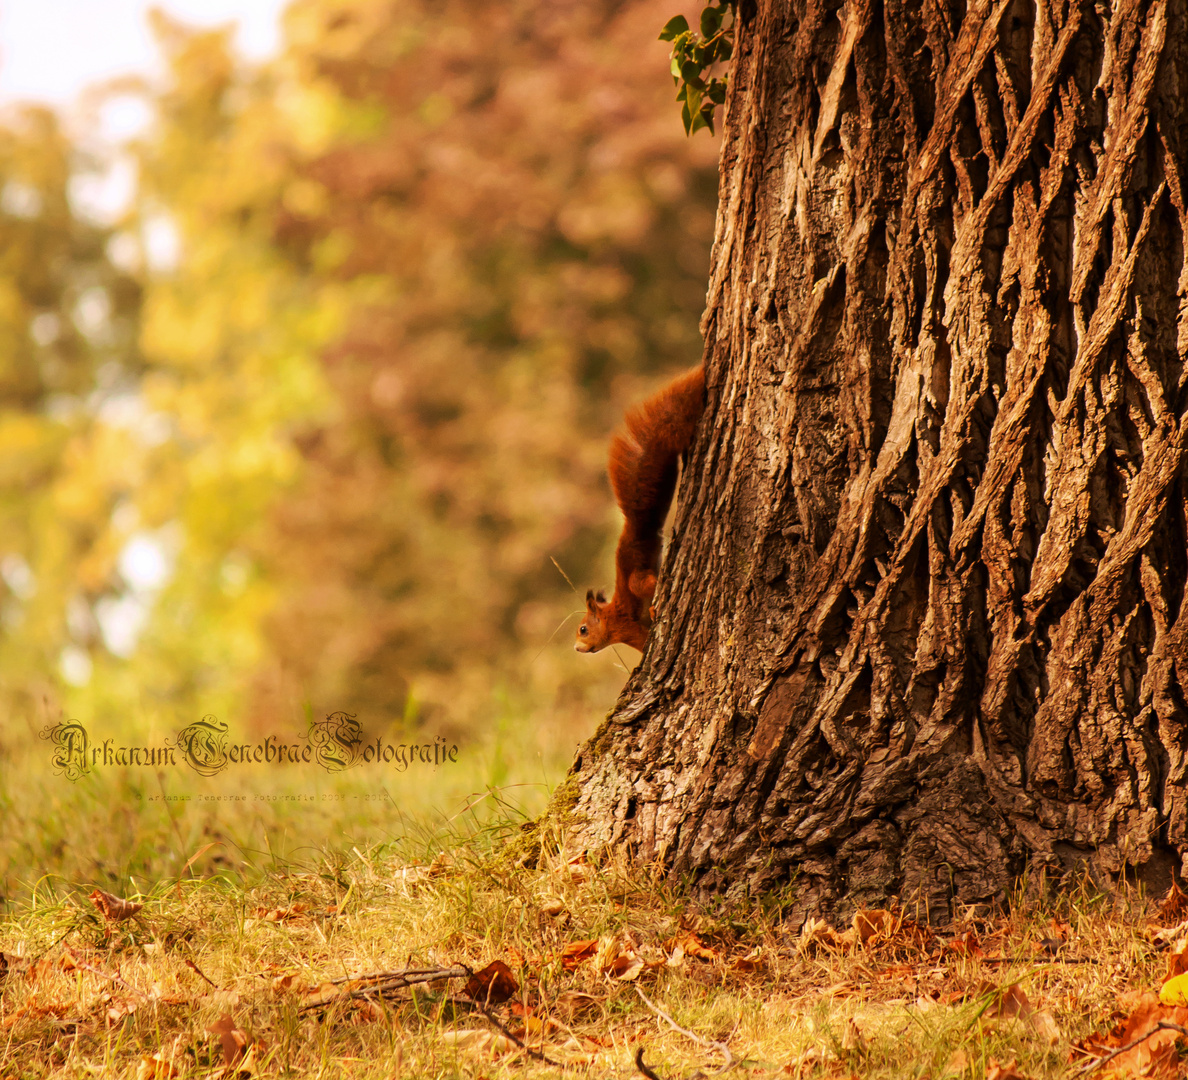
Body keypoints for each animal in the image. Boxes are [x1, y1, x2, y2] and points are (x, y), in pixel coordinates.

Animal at [574, 363, 703, 651]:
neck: (609, 620)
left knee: (650, 584)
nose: (576, 648)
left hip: (636, 578)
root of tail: (635, 529)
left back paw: (655, 607)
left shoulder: (627, 628)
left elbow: (643, 643)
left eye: (583, 630)